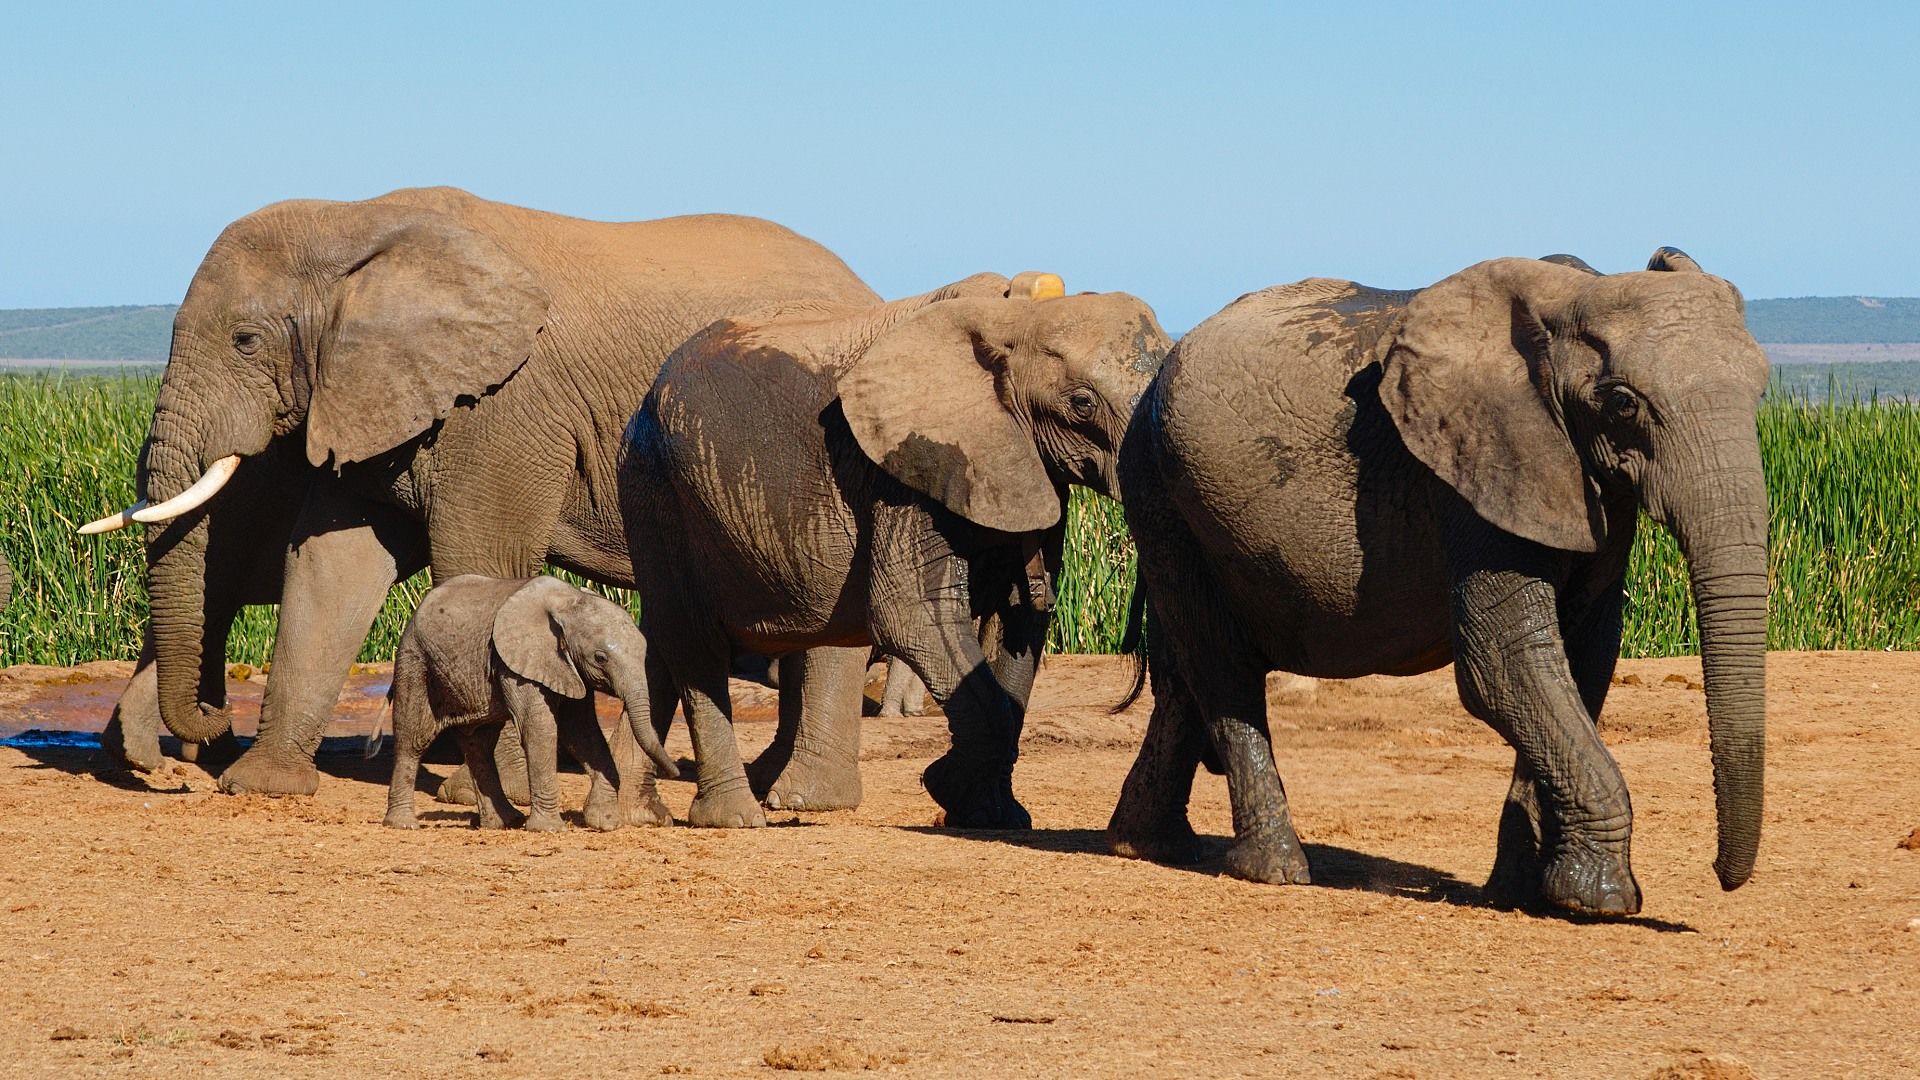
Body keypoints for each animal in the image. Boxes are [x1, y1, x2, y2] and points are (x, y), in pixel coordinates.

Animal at [370, 576, 679, 826]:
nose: (674, 772)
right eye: (600, 658)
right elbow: (540, 728)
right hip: (415, 662)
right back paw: (404, 824)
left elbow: (583, 733)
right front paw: (549, 828)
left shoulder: (569, 669)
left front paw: (605, 822)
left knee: (479, 744)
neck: (568, 603)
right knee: (413, 739)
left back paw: (504, 822)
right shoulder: (516, 664)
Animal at [625, 270, 1167, 822]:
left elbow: (1021, 621)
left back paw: (639, 813)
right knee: (694, 646)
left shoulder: (1025, 466)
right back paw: (734, 818)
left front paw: (988, 812)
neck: (1016, 318)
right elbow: (912, 614)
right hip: (655, 486)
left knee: (662, 644)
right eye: (1082, 402)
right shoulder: (901, 469)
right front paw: (946, 786)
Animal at [1113, 247, 1766, 910]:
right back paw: (1273, 869)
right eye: (1623, 403)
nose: (1720, 876)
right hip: (1161, 491)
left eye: (1762, 390)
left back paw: (1147, 846)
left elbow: (1583, 659)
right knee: (1221, 667)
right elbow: (1503, 665)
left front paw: (1523, 893)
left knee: (1184, 674)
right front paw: (1600, 901)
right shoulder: (1475, 469)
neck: (1570, 299)